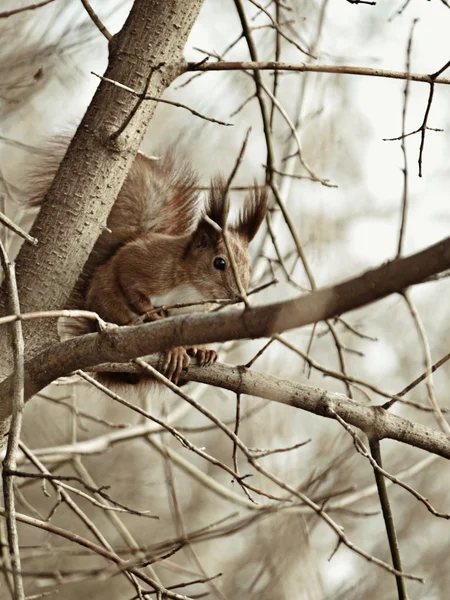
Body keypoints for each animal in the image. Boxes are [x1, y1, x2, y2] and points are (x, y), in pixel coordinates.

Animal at [29, 148, 268, 386]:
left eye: (249, 267)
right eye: (219, 262)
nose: (238, 296)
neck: (191, 288)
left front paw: (200, 346)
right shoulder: (148, 266)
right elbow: (131, 286)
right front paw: (158, 321)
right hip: (108, 305)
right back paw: (171, 349)